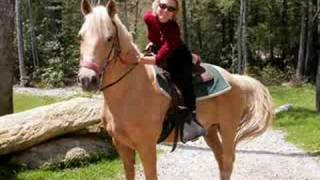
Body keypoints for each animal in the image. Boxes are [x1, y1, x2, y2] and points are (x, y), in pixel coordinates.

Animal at [77, 0, 272, 179]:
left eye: (109, 38)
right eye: (80, 37)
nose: (87, 79)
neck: (129, 92)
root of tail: (235, 78)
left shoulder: (147, 147)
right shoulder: (121, 146)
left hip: (228, 128)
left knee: (228, 162)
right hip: (211, 130)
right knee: (221, 160)